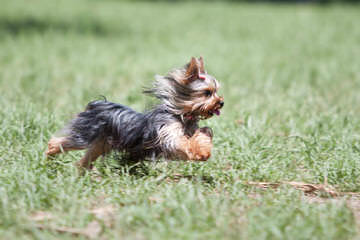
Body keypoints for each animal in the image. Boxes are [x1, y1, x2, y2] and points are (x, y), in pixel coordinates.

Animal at [46, 57, 224, 170]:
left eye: (217, 91)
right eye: (207, 93)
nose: (221, 102)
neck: (181, 114)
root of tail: (98, 104)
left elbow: (202, 134)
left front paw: (204, 152)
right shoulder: (168, 134)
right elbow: (182, 143)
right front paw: (200, 153)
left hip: (101, 143)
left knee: (87, 156)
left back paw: (81, 171)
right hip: (86, 134)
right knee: (60, 142)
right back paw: (50, 155)